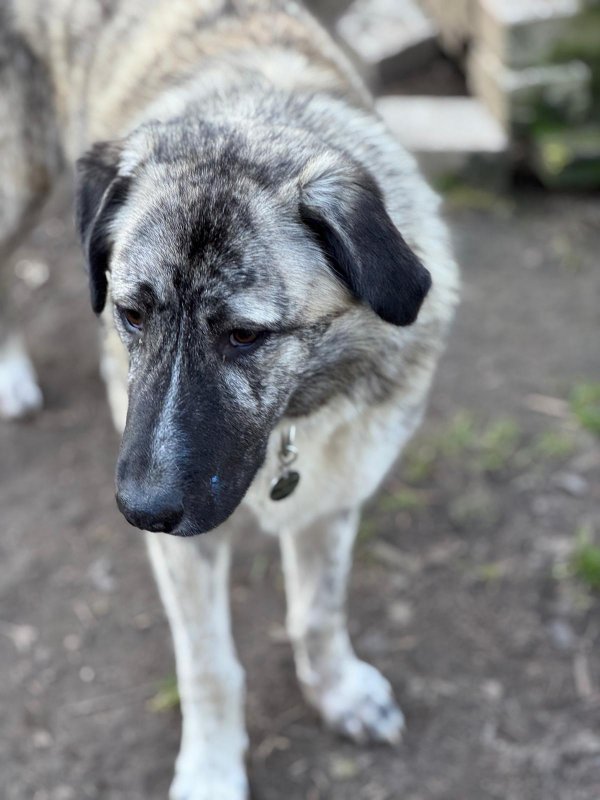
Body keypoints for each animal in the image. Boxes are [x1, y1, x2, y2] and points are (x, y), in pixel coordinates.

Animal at [0, 1, 459, 797]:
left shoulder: (334, 497)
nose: (141, 510)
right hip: (14, 182)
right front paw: (212, 772)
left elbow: (316, 612)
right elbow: (209, 666)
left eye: (246, 334)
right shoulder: (183, 551)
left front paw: (337, 692)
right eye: (131, 313)